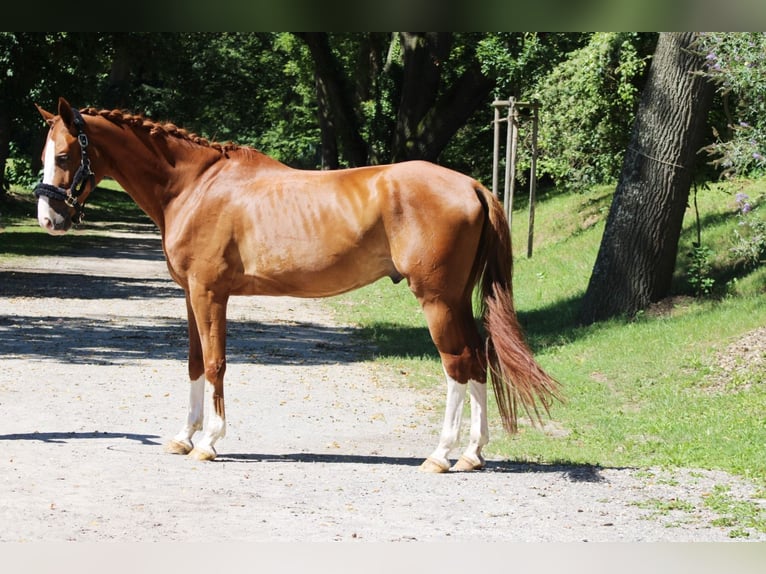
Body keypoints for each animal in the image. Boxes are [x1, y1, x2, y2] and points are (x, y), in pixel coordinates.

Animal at [33, 99, 560, 474]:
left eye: (64, 155)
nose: (48, 219)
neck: (194, 185)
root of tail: (473, 185)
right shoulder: (189, 295)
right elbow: (194, 363)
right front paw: (184, 437)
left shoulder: (209, 293)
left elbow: (216, 362)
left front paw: (210, 442)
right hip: (456, 301)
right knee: (478, 360)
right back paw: (472, 453)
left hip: (437, 301)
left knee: (457, 364)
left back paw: (440, 454)